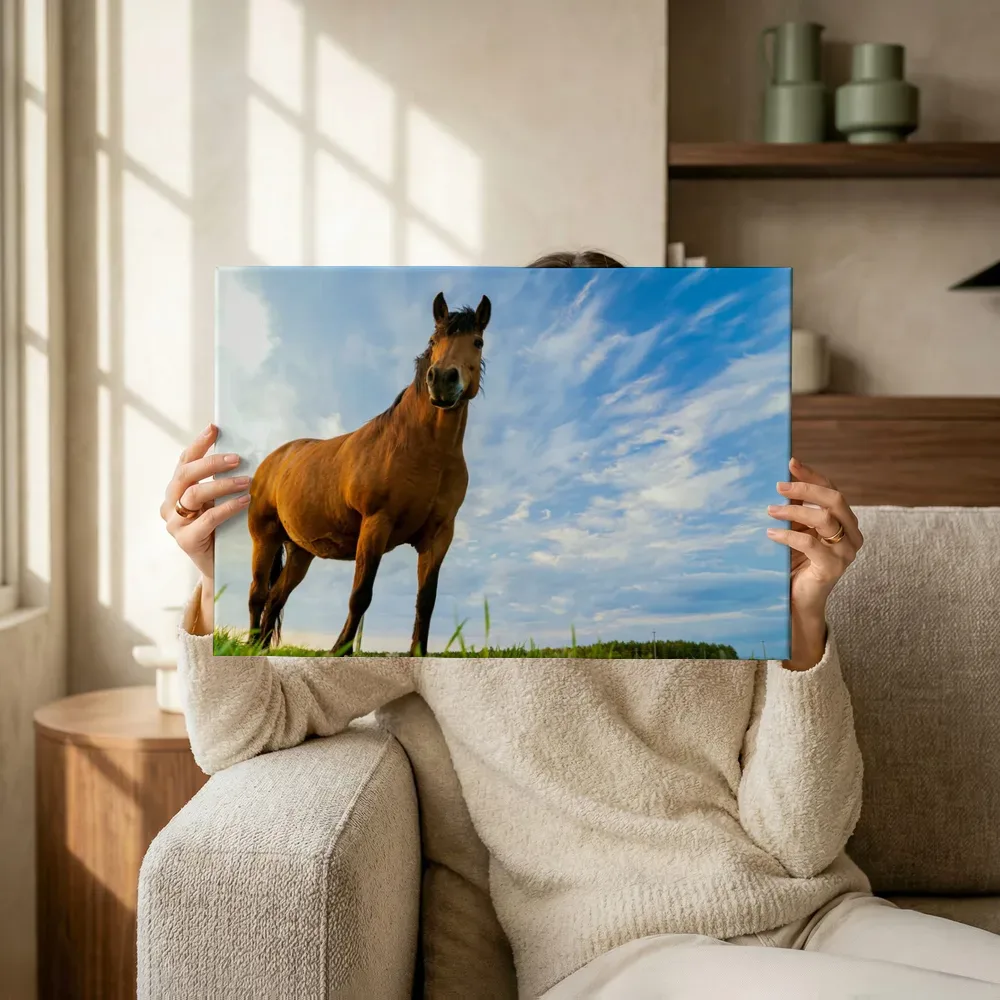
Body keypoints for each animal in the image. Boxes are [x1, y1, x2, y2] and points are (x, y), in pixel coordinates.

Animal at [246, 290, 491, 656]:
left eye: (477, 341)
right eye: (434, 340)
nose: (443, 381)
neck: (425, 451)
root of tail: (274, 459)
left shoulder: (439, 537)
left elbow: (426, 601)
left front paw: (418, 654)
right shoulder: (376, 523)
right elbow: (361, 595)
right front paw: (340, 651)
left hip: (301, 552)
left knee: (276, 597)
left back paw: (261, 648)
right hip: (265, 538)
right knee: (258, 595)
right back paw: (248, 646)